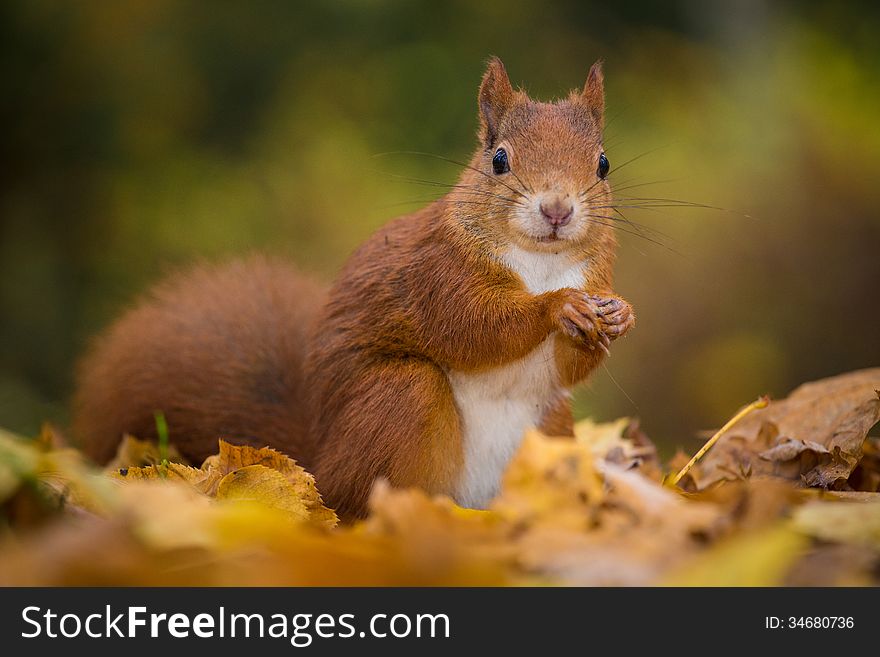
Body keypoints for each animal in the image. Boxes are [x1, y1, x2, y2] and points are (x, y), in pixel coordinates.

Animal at [74, 57, 632, 516]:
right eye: (499, 159)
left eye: (603, 164)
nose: (557, 210)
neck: (541, 263)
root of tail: (318, 467)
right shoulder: (437, 275)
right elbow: (474, 326)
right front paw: (559, 307)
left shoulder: (592, 277)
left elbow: (569, 365)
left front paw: (621, 314)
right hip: (400, 396)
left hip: (553, 429)